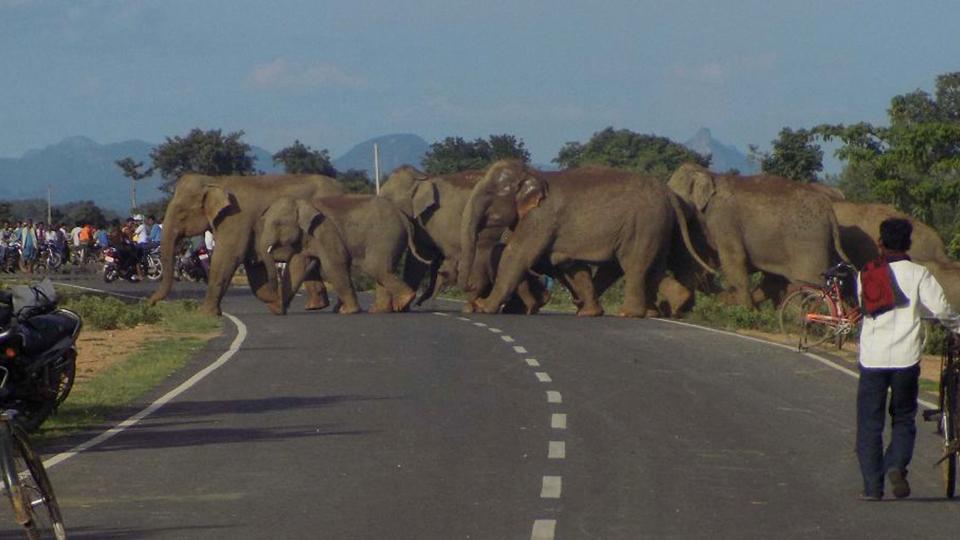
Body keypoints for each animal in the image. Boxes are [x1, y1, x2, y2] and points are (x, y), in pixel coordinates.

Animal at [148, 173, 344, 316]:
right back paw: (315, 306)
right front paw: (275, 303)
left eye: (181, 213)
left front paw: (204, 314)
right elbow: (253, 263)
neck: (216, 181)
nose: (151, 303)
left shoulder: (236, 218)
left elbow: (228, 256)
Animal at [258, 195, 432, 312]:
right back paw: (380, 310)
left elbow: (333, 265)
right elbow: (297, 268)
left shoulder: (325, 231)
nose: (272, 304)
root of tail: (404, 217)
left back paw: (403, 301)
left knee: (374, 268)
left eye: (277, 223)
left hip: (385, 238)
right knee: (382, 269)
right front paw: (277, 309)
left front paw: (347, 312)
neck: (303, 202)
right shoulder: (306, 238)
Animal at [378, 167, 552, 314]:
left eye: (387, 199)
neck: (423, 178)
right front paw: (402, 307)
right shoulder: (423, 224)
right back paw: (534, 303)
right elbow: (418, 258)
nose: (420, 304)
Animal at [458, 160, 712, 316]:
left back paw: (629, 313)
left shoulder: (540, 219)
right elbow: (570, 265)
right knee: (651, 268)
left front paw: (484, 308)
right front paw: (589, 312)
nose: (471, 290)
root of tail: (670, 194)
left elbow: (517, 255)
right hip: (658, 227)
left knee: (635, 266)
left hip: (643, 225)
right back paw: (660, 309)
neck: (534, 174)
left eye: (489, 195)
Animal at [668, 163, 848, 308]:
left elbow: (734, 258)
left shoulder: (723, 219)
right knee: (781, 283)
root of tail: (830, 212)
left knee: (812, 285)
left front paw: (747, 311)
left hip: (810, 245)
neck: (710, 174)